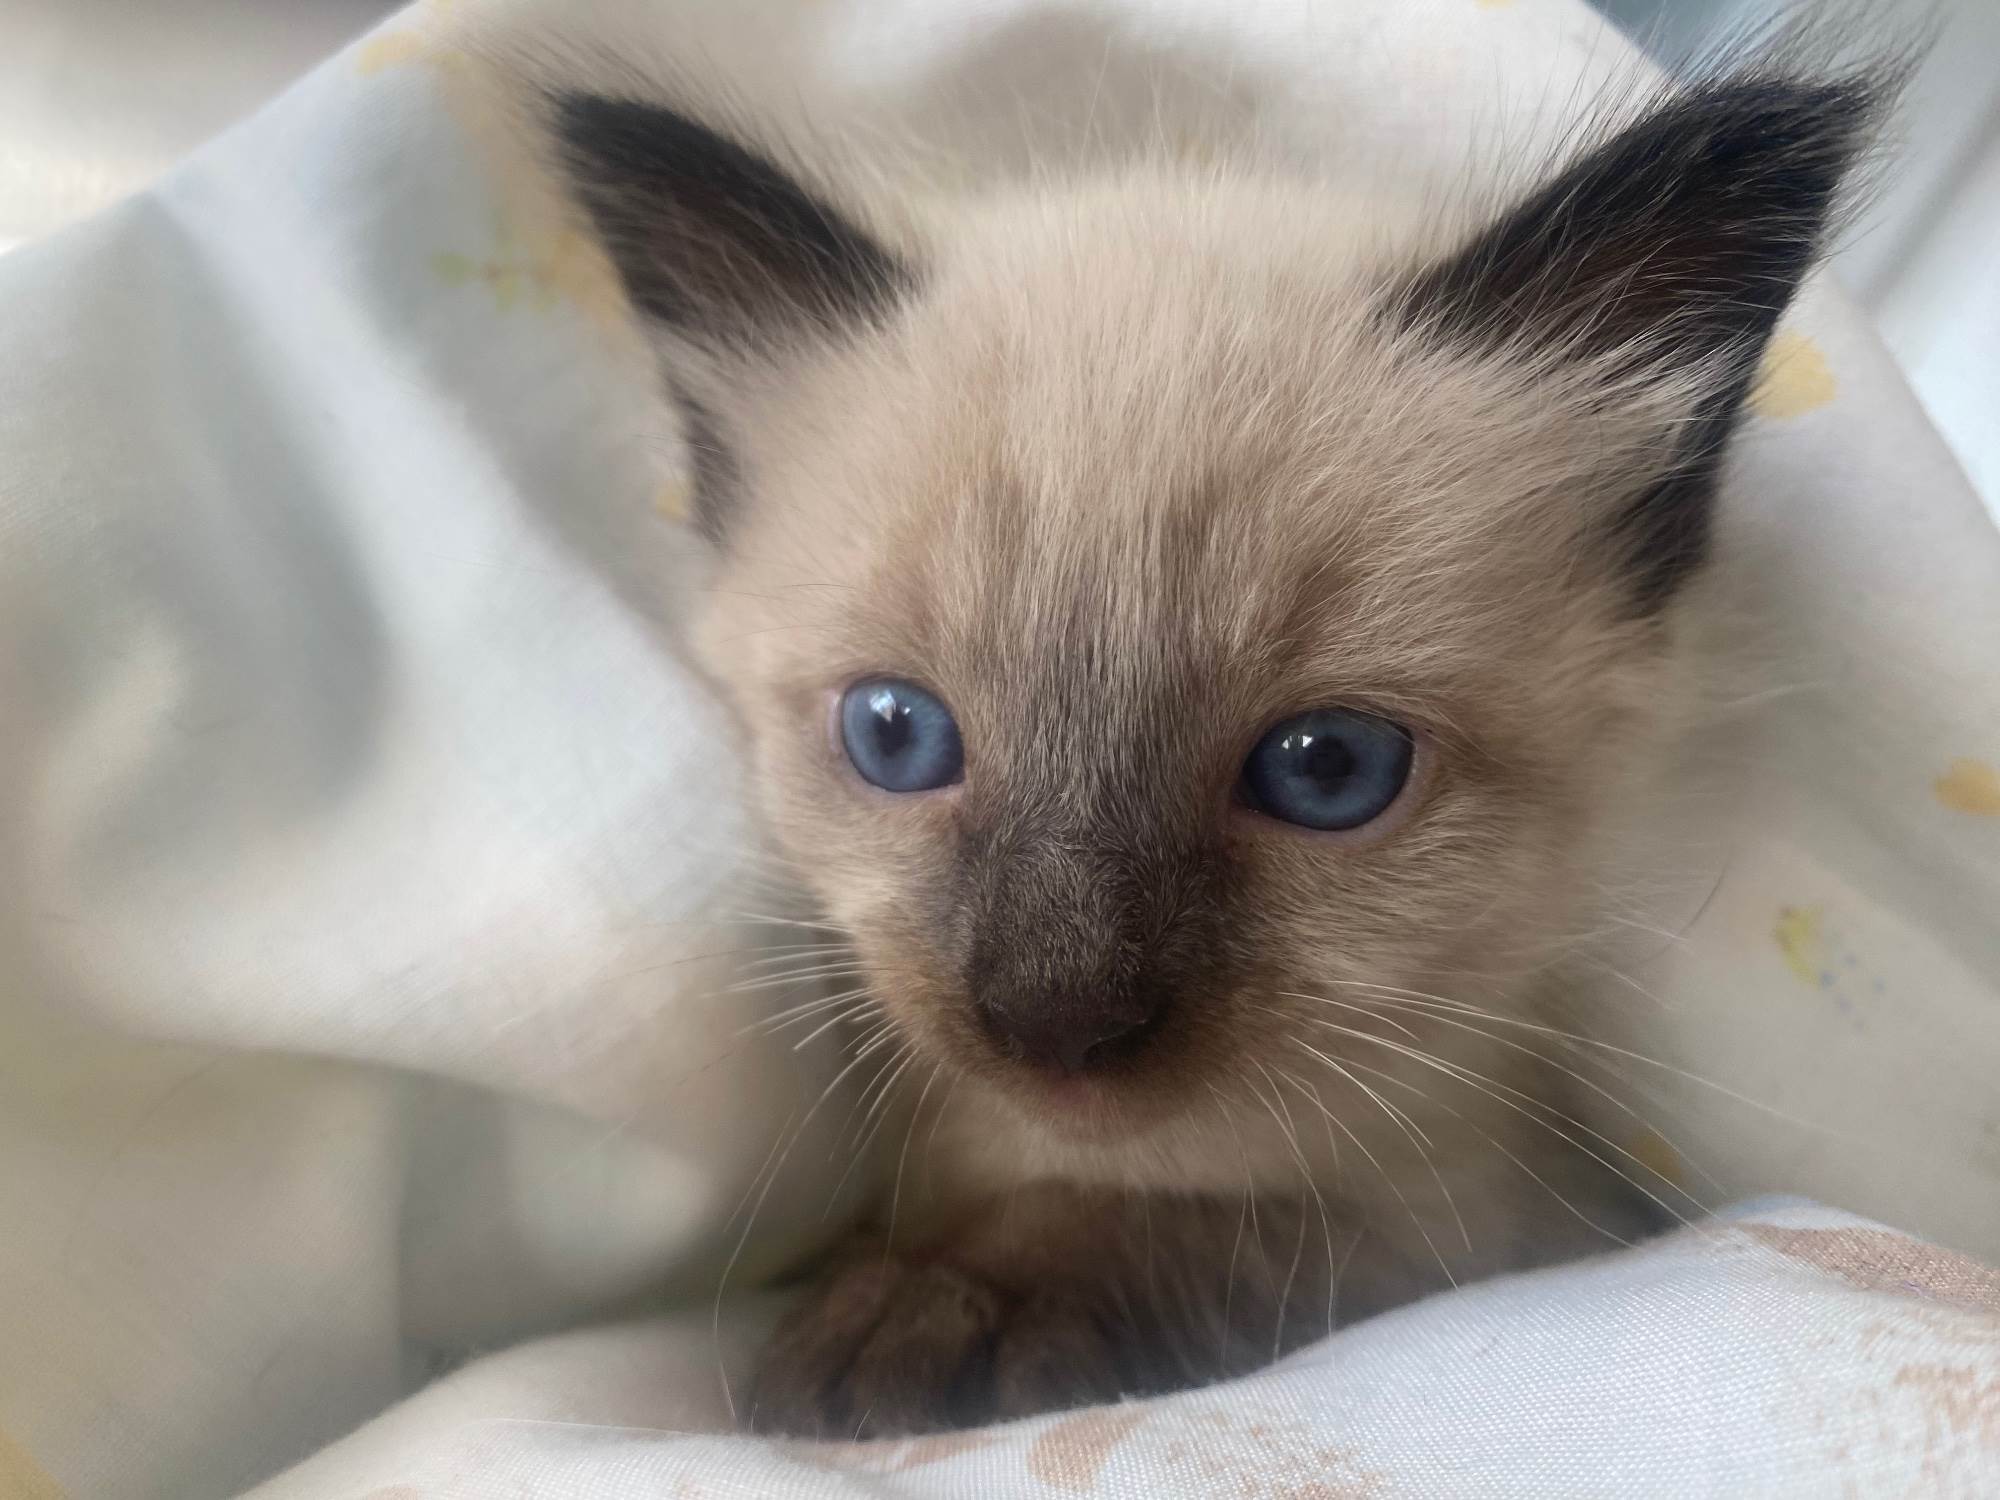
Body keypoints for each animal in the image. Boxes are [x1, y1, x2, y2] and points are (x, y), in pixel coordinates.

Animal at [546, 52, 1884, 1437]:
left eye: (1326, 767)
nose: (1055, 1023)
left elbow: (1185, 1228)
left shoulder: (1474, 1220)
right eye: (894, 736)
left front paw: (928, 1317)